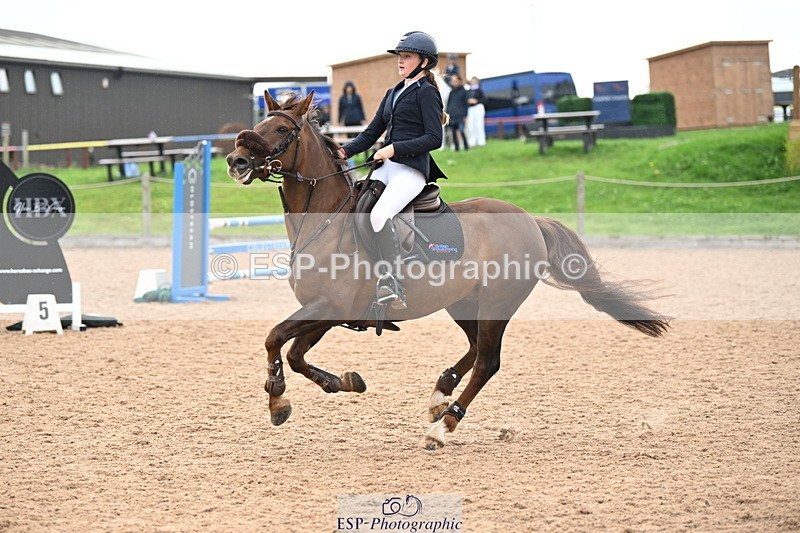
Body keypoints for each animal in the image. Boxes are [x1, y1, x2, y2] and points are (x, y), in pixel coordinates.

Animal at [226, 90, 670, 449]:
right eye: (259, 124)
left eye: (281, 128)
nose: (235, 160)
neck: (325, 220)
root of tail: (530, 220)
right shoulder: (326, 311)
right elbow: (294, 353)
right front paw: (342, 382)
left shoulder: (328, 307)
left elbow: (273, 338)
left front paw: (277, 397)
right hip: (464, 302)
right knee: (474, 351)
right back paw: (440, 396)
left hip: (496, 302)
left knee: (488, 361)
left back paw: (443, 427)